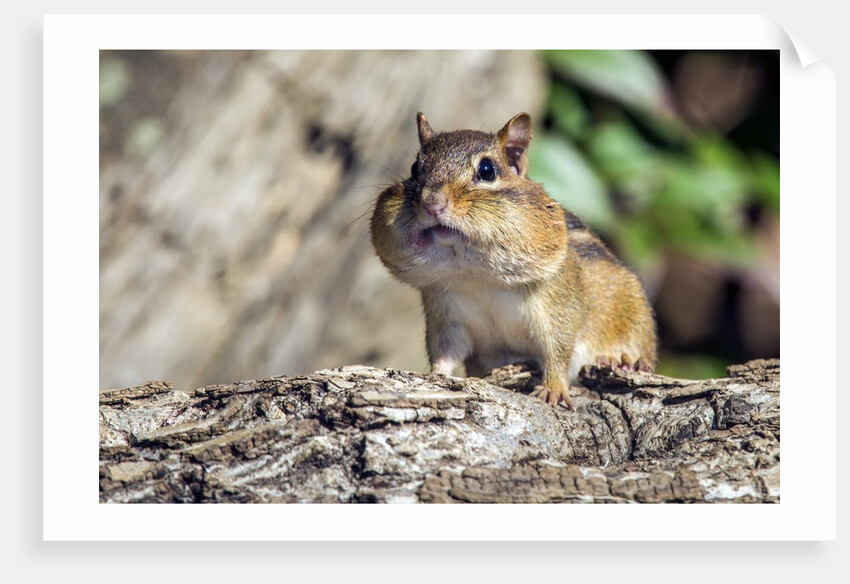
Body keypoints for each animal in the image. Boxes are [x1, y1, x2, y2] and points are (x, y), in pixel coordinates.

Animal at [370, 112, 657, 410]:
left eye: (487, 170)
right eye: (415, 168)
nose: (431, 203)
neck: (476, 277)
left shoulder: (558, 305)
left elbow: (558, 350)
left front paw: (554, 388)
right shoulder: (445, 315)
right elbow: (444, 353)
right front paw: (434, 376)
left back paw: (624, 360)